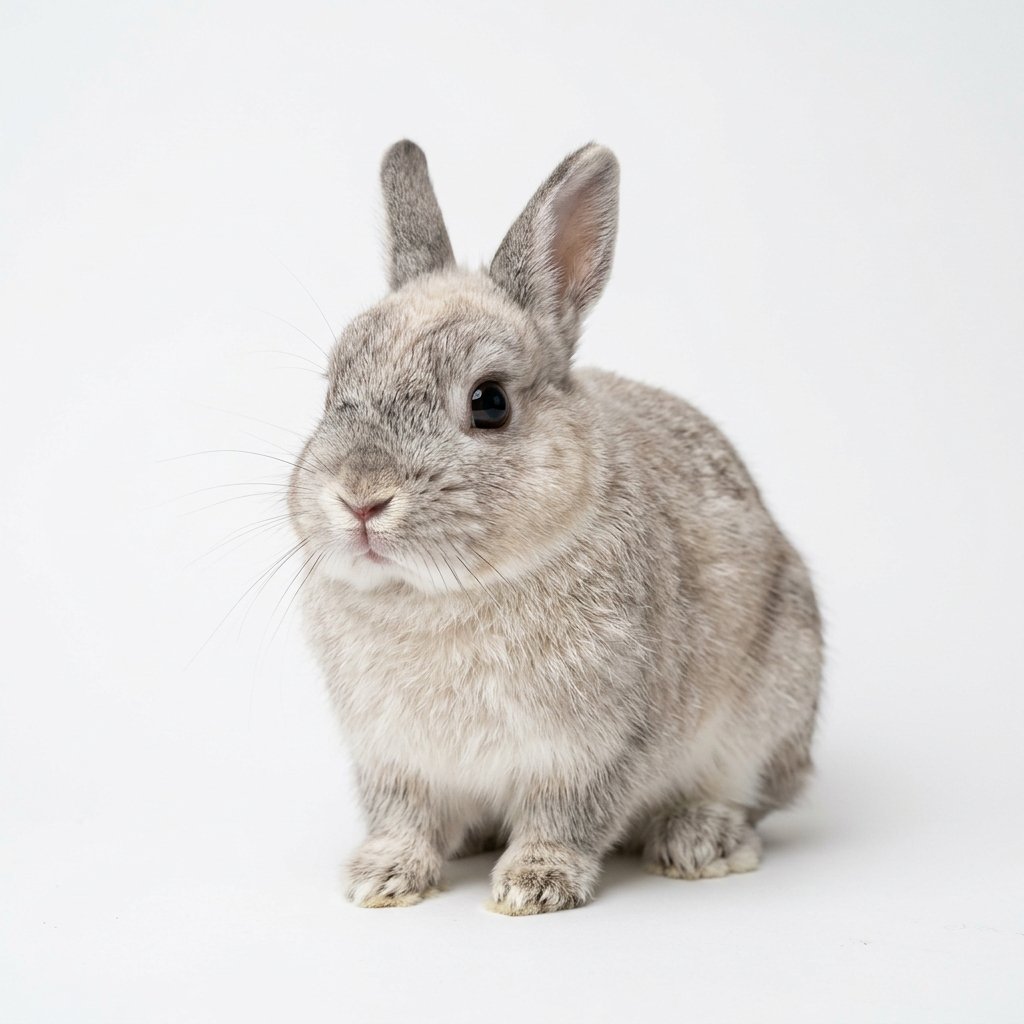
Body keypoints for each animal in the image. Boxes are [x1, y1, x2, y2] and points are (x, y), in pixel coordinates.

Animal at [287, 140, 823, 915]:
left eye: (489, 402)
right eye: (333, 390)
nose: (359, 499)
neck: (443, 594)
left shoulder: (594, 750)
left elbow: (565, 818)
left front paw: (532, 887)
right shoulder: (393, 758)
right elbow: (403, 818)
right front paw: (382, 877)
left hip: (770, 706)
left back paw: (699, 840)